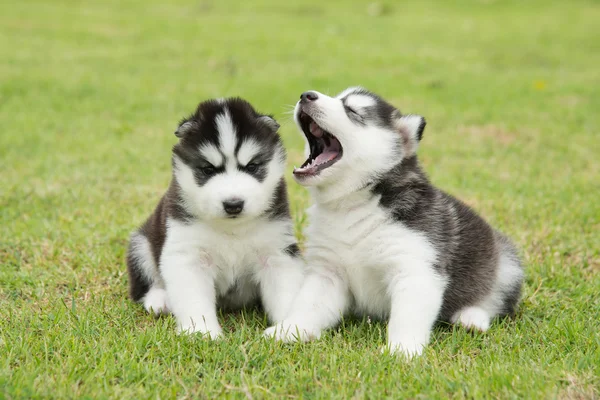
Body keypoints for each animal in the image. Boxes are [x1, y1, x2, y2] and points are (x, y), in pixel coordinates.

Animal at [127, 97, 304, 338]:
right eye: (208, 169)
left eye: (252, 166)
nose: (233, 204)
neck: (232, 229)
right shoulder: (188, 254)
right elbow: (194, 300)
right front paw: (202, 332)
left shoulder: (277, 251)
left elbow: (286, 293)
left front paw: (290, 329)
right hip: (141, 243)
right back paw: (159, 300)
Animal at [264, 87, 524, 356]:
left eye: (353, 110)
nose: (306, 95)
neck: (351, 205)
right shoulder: (328, 271)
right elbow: (309, 305)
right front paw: (290, 330)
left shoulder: (415, 267)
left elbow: (407, 316)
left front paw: (401, 350)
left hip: (507, 265)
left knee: (494, 303)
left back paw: (471, 318)